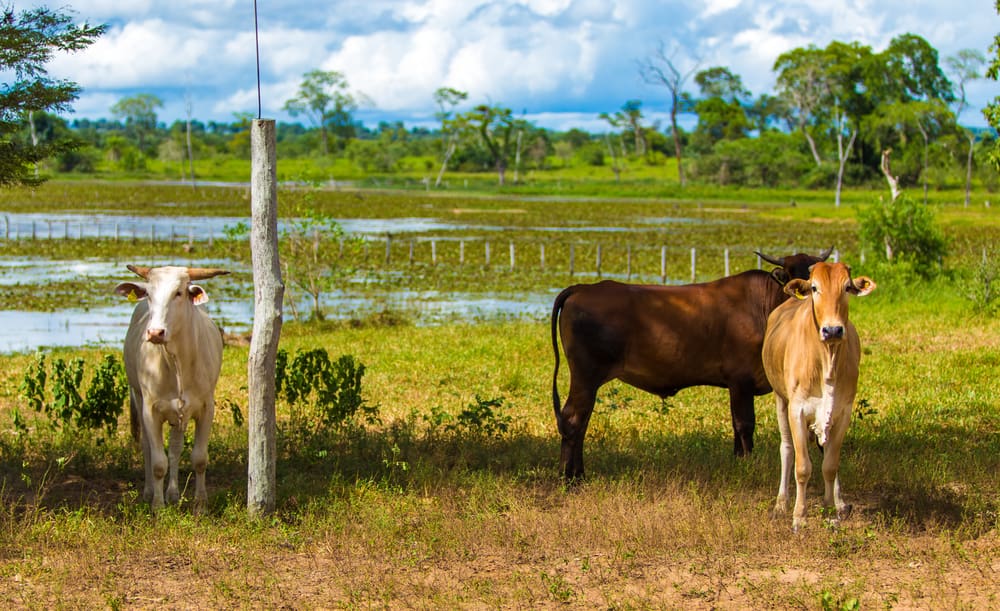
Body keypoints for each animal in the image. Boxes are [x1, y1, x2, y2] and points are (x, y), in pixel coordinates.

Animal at [114, 264, 229, 512]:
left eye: (178, 293)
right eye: (149, 294)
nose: (155, 333)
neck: (178, 362)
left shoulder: (206, 408)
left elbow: (199, 458)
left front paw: (200, 504)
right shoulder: (150, 409)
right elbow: (158, 462)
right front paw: (158, 505)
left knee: (176, 448)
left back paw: (174, 493)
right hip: (138, 397)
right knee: (148, 449)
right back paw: (150, 492)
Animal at [552, 246, 832, 480]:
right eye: (791, 276)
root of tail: (583, 288)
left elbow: (736, 425)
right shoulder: (740, 380)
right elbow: (744, 424)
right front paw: (747, 463)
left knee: (581, 420)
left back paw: (577, 472)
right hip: (585, 376)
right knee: (573, 419)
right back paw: (570, 476)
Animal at [764, 262, 876, 532]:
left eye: (847, 287)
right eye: (815, 288)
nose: (833, 329)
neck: (827, 359)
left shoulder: (843, 412)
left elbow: (830, 465)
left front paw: (830, 509)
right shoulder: (796, 409)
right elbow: (803, 466)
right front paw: (799, 516)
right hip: (781, 400)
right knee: (787, 449)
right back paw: (781, 504)